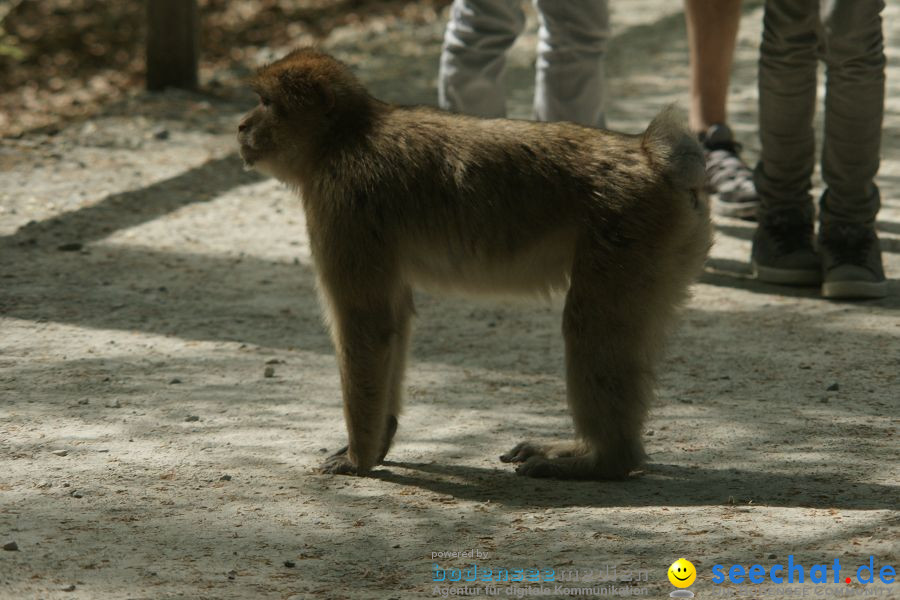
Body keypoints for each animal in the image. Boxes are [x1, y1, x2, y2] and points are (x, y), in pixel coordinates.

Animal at [237, 47, 712, 480]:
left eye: (266, 103)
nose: (241, 126)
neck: (343, 138)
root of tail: (651, 156)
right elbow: (394, 319)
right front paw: (383, 438)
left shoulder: (342, 208)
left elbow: (367, 324)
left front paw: (360, 458)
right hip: (664, 247)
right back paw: (588, 452)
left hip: (628, 232)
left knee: (591, 326)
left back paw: (604, 461)